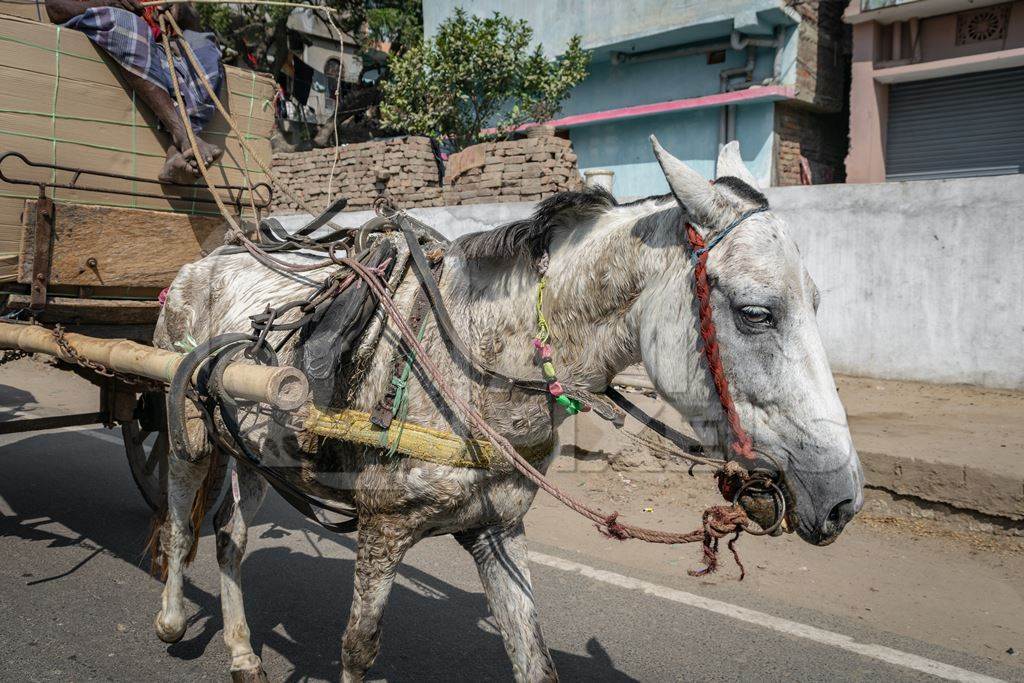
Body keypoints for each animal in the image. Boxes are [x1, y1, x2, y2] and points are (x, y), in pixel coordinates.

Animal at [151, 136, 864, 679]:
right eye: (755, 313)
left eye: (817, 303)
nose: (842, 498)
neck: (472, 361)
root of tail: (200, 263)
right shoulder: (382, 529)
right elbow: (357, 649)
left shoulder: (495, 529)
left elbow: (534, 657)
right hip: (184, 427)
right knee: (184, 523)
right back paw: (171, 619)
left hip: (254, 450)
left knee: (231, 536)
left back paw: (243, 652)